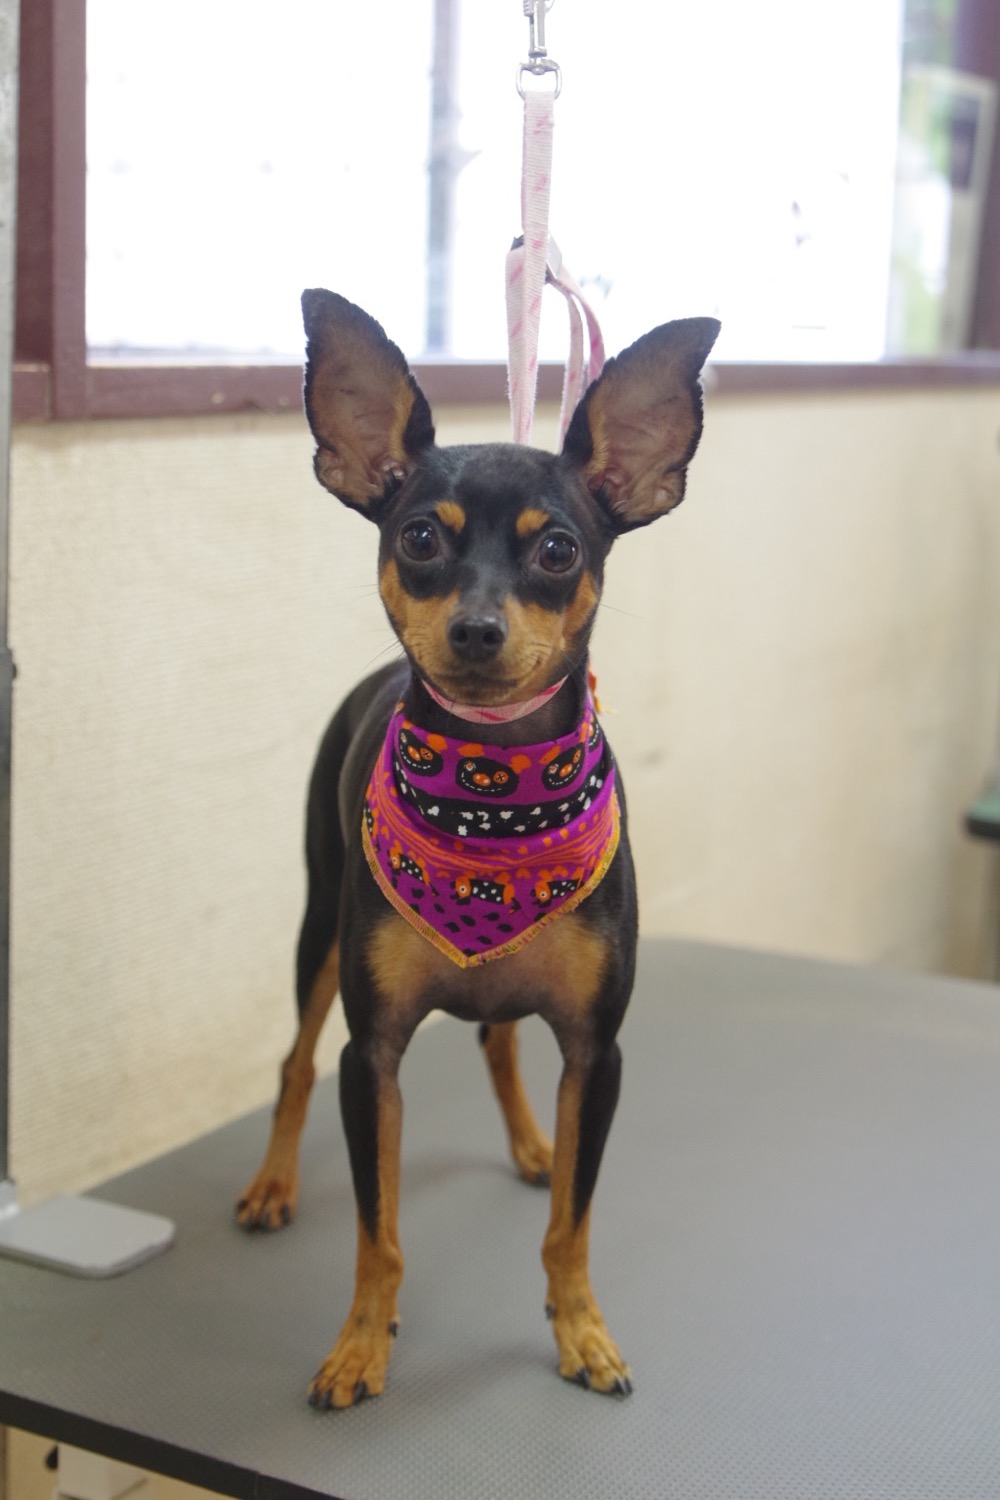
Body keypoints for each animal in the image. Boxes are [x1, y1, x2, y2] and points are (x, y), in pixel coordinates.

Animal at [236, 291, 719, 1408]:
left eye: (558, 552)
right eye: (419, 537)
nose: (475, 630)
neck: (493, 803)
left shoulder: (597, 1052)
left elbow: (570, 1226)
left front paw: (580, 1329)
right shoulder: (371, 1059)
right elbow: (378, 1232)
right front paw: (361, 1344)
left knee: (499, 1040)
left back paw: (535, 1144)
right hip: (319, 930)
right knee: (292, 1062)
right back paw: (273, 1185)